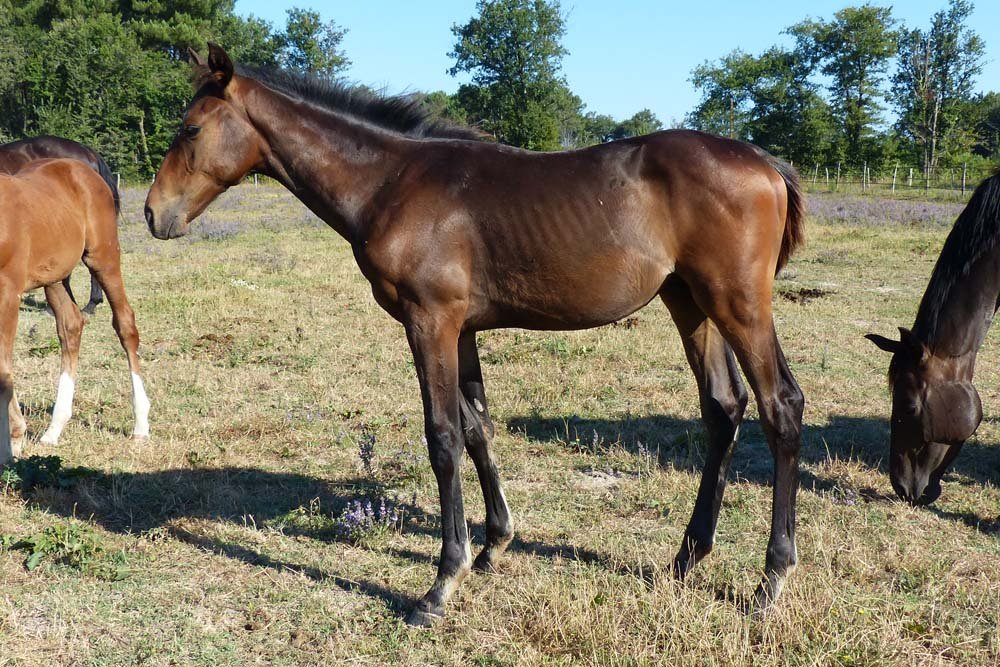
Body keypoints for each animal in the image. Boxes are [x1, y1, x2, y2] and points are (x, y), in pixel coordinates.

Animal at [0, 158, 150, 465]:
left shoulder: (8, 292)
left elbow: (3, 369)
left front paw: (11, 443)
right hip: (55, 276)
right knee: (71, 325)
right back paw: (54, 429)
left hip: (103, 256)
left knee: (125, 324)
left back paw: (141, 424)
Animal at [145, 44, 806, 626]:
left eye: (190, 129)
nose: (154, 214)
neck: (391, 182)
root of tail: (765, 163)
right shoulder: (461, 330)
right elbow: (477, 427)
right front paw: (494, 545)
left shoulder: (429, 321)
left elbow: (442, 439)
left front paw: (441, 583)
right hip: (689, 301)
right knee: (723, 408)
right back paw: (685, 559)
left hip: (738, 303)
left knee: (781, 405)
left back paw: (771, 581)